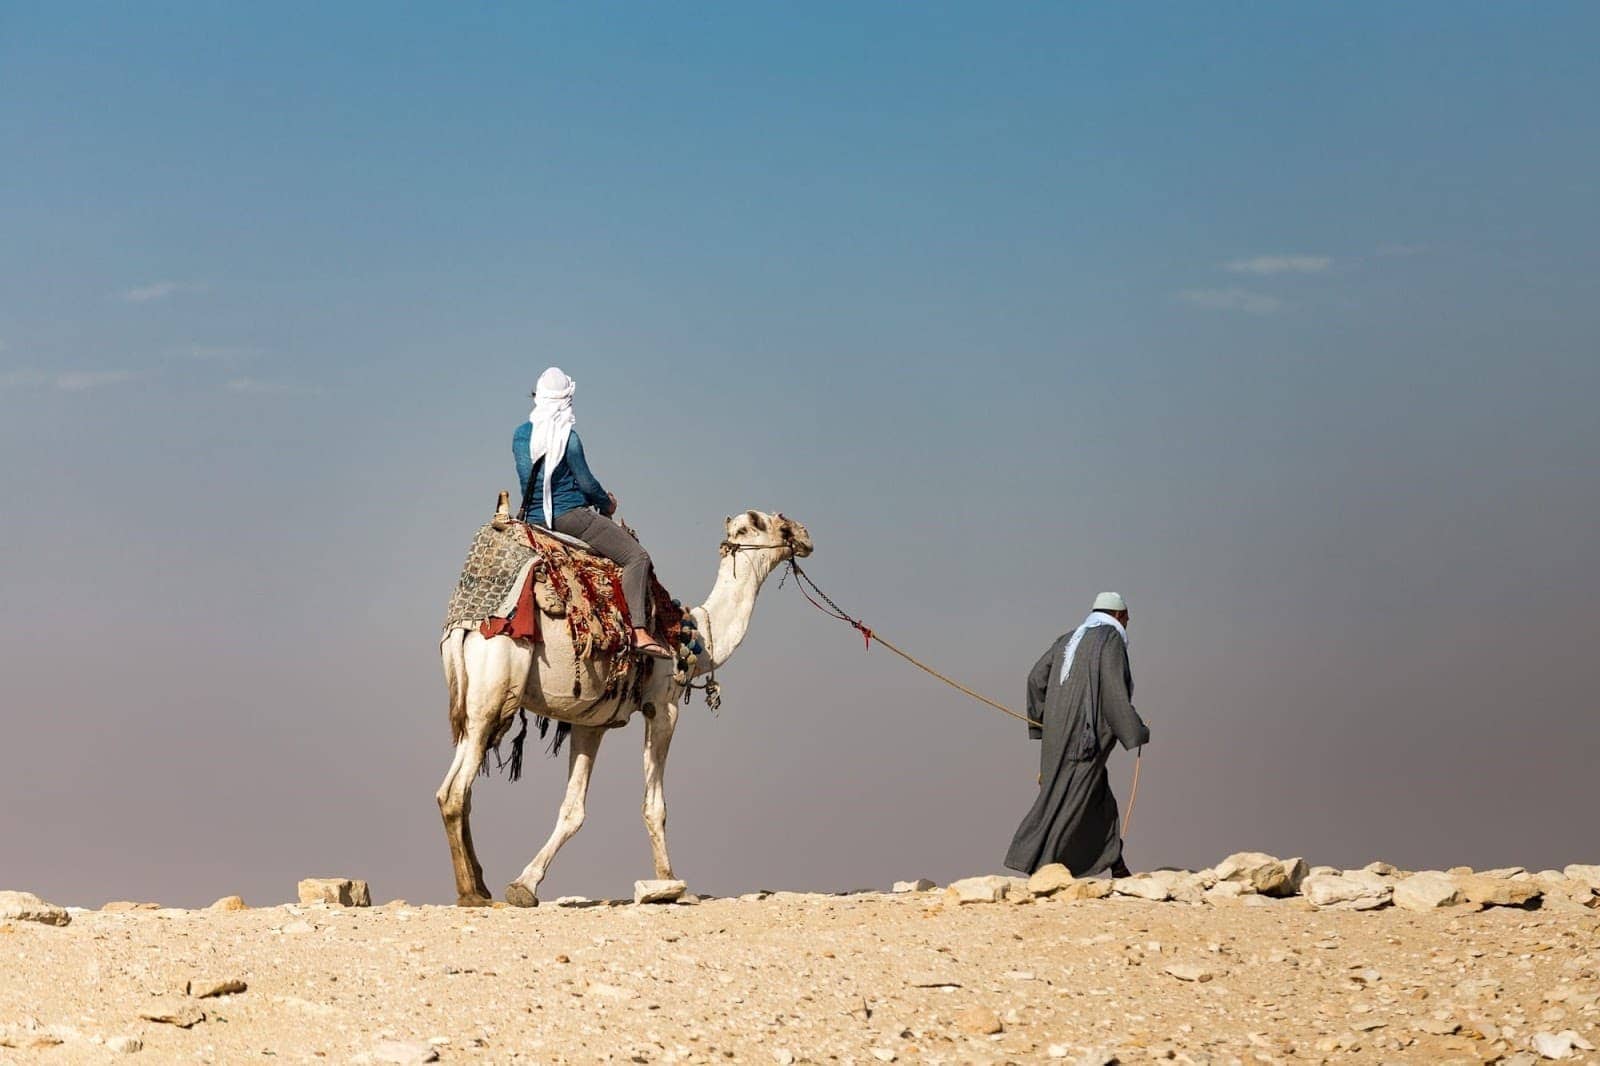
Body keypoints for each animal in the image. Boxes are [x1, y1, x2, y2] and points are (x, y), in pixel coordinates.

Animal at [438, 508, 812, 902]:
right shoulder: (663, 707)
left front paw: (524, 884)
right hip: (496, 686)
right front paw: (672, 884)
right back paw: (470, 893)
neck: (693, 635)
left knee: (454, 786)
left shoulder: (590, 721)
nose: (806, 536)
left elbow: (573, 808)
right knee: (456, 791)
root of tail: (465, 623)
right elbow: (655, 806)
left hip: (473, 700)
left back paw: (480, 886)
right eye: (779, 524)